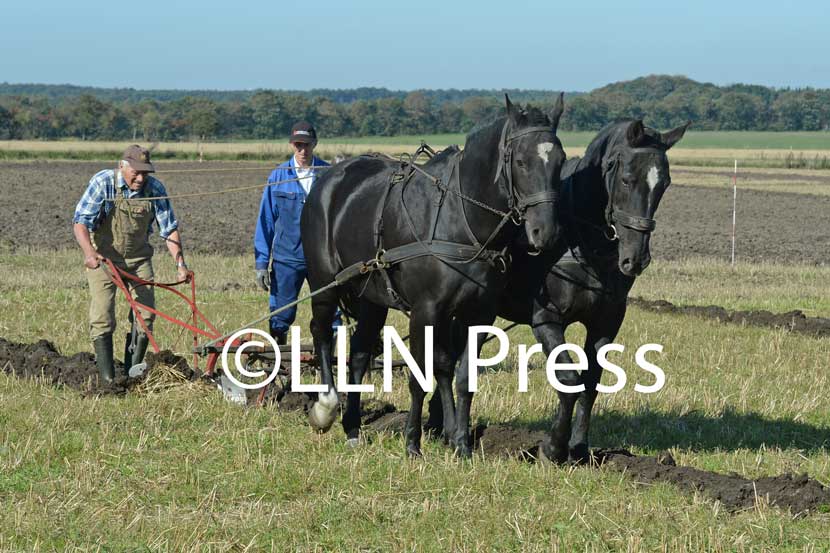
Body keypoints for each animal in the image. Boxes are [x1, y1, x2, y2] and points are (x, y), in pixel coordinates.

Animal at [302, 96, 568, 458]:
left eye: (560, 161)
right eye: (522, 162)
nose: (546, 231)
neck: (461, 219)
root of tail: (329, 179)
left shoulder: (478, 314)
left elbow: (461, 375)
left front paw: (462, 444)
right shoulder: (425, 310)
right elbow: (420, 375)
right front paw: (413, 443)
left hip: (370, 297)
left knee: (358, 353)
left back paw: (354, 427)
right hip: (324, 285)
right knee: (322, 335)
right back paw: (326, 408)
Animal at [426, 118, 692, 460]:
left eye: (664, 184)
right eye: (627, 180)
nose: (636, 259)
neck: (580, 242)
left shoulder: (606, 323)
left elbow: (591, 382)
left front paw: (578, 447)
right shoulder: (547, 320)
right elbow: (568, 379)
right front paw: (552, 447)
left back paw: (439, 424)